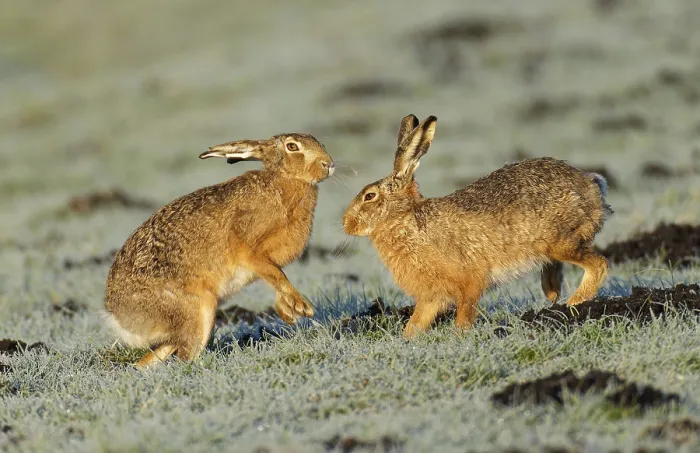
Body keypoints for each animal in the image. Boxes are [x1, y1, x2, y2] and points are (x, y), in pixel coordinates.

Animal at [105, 132, 335, 367]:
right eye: (292, 146)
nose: (329, 164)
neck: (285, 180)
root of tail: (118, 316)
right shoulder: (250, 251)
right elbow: (277, 276)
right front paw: (303, 307)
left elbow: (276, 277)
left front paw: (287, 312)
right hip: (198, 309)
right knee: (186, 353)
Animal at [342, 114, 612, 338]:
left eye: (369, 196)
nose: (346, 224)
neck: (407, 220)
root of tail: (592, 184)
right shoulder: (432, 296)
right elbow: (417, 322)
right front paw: (408, 339)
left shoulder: (469, 281)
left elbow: (465, 313)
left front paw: (458, 336)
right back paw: (552, 293)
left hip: (560, 241)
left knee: (598, 265)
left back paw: (574, 304)